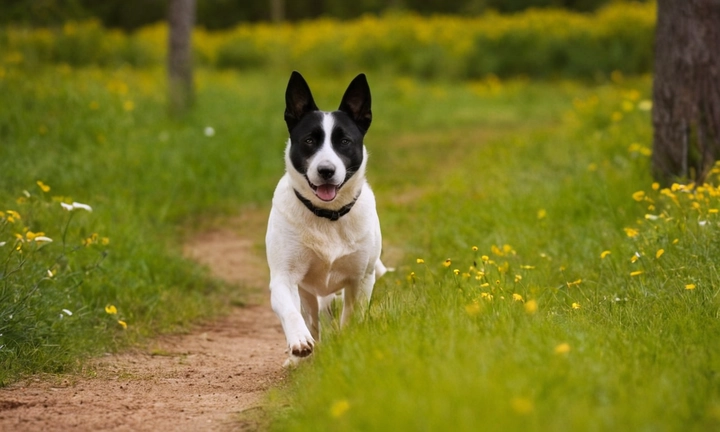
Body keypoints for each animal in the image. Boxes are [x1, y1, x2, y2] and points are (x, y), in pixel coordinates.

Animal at [266, 71, 388, 364]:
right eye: (309, 140)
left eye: (344, 141)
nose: (326, 170)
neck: (327, 216)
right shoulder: (283, 278)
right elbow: (291, 312)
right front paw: (299, 343)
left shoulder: (361, 279)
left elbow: (352, 318)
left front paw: (349, 346)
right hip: (307, 293)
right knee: (311, 318)